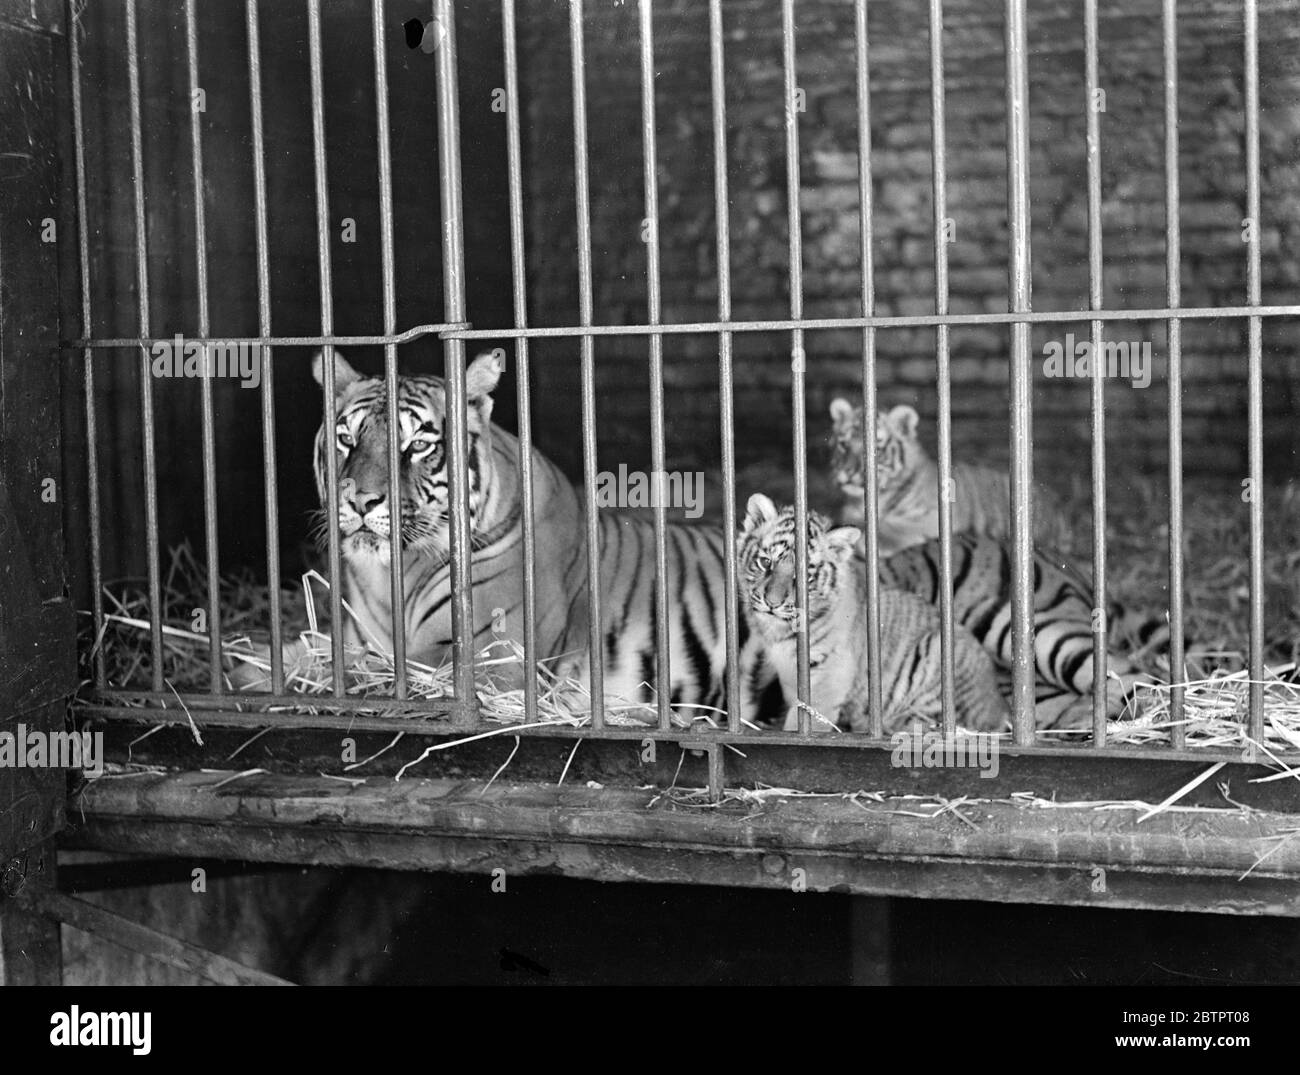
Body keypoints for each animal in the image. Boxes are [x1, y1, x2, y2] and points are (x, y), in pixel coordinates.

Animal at [306, 348, 776, 722]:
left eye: (419, 445)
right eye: (346, 438)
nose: (360, 500)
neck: (392, 577)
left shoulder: (490, 655)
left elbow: (399, 673)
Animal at [738, 494, 1010, 734]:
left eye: (805, 575)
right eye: (765, 562)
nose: (772, 603)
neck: (777, 628)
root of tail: (998, 702)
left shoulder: (830, 669)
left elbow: (805, 719)